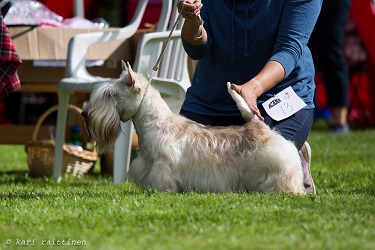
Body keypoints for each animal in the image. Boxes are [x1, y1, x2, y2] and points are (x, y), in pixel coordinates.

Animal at [81, 61, 306, 194]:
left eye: (110, 95)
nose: (84, 114)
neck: (154, 123)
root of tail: (259, 127)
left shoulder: (162, 166)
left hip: (280, 167)